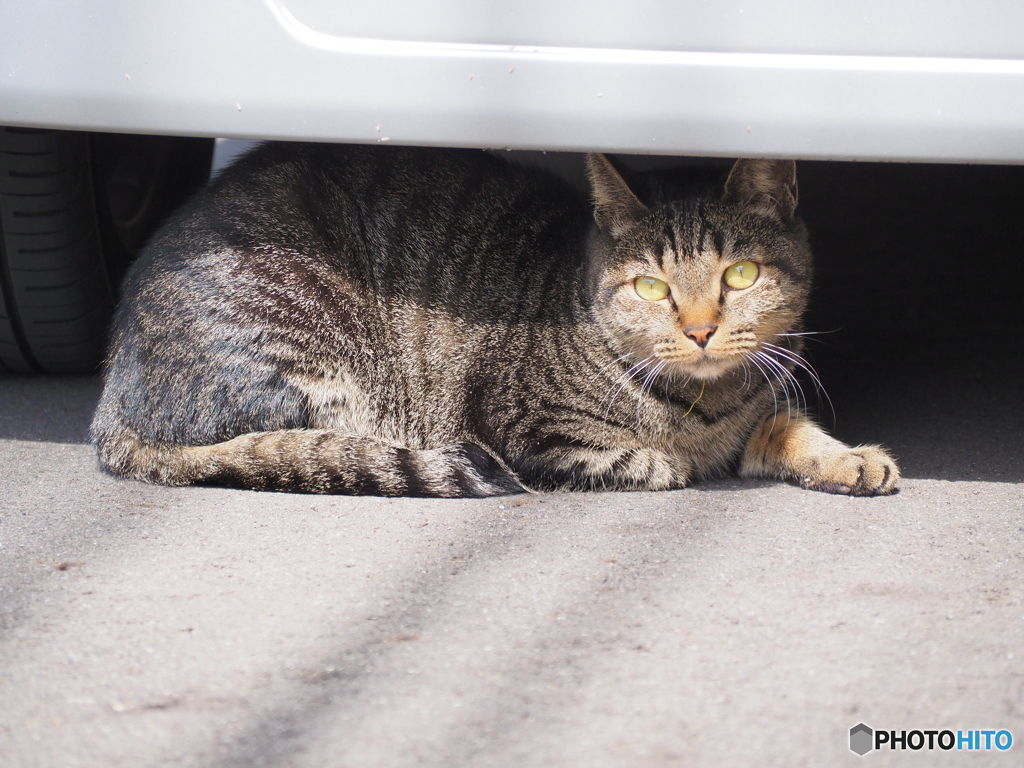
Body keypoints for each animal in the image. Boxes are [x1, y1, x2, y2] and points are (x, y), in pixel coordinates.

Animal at [92, 144, 901, 499]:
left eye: (740, 276)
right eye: (650, 285)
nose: (701, 330)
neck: (708, 403)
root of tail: (111, 401)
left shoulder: (761, 403)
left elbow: (790, 427)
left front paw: (848, 458)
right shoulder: (525, 424)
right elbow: (641, 459)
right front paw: (664, 458)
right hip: (306, 343)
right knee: (302, 445)